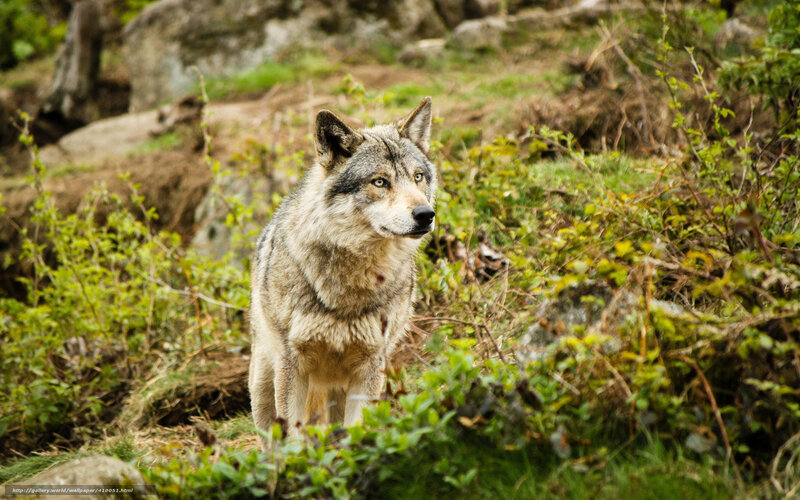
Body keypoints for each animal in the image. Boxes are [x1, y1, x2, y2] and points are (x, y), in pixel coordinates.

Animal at [248, 97, 437, 448]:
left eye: (418, 177)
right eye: (380, 182)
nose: (425, 214)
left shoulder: (370, 367)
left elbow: (356, 431)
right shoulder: (293, 365)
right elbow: (294, 440)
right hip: (264, 385)